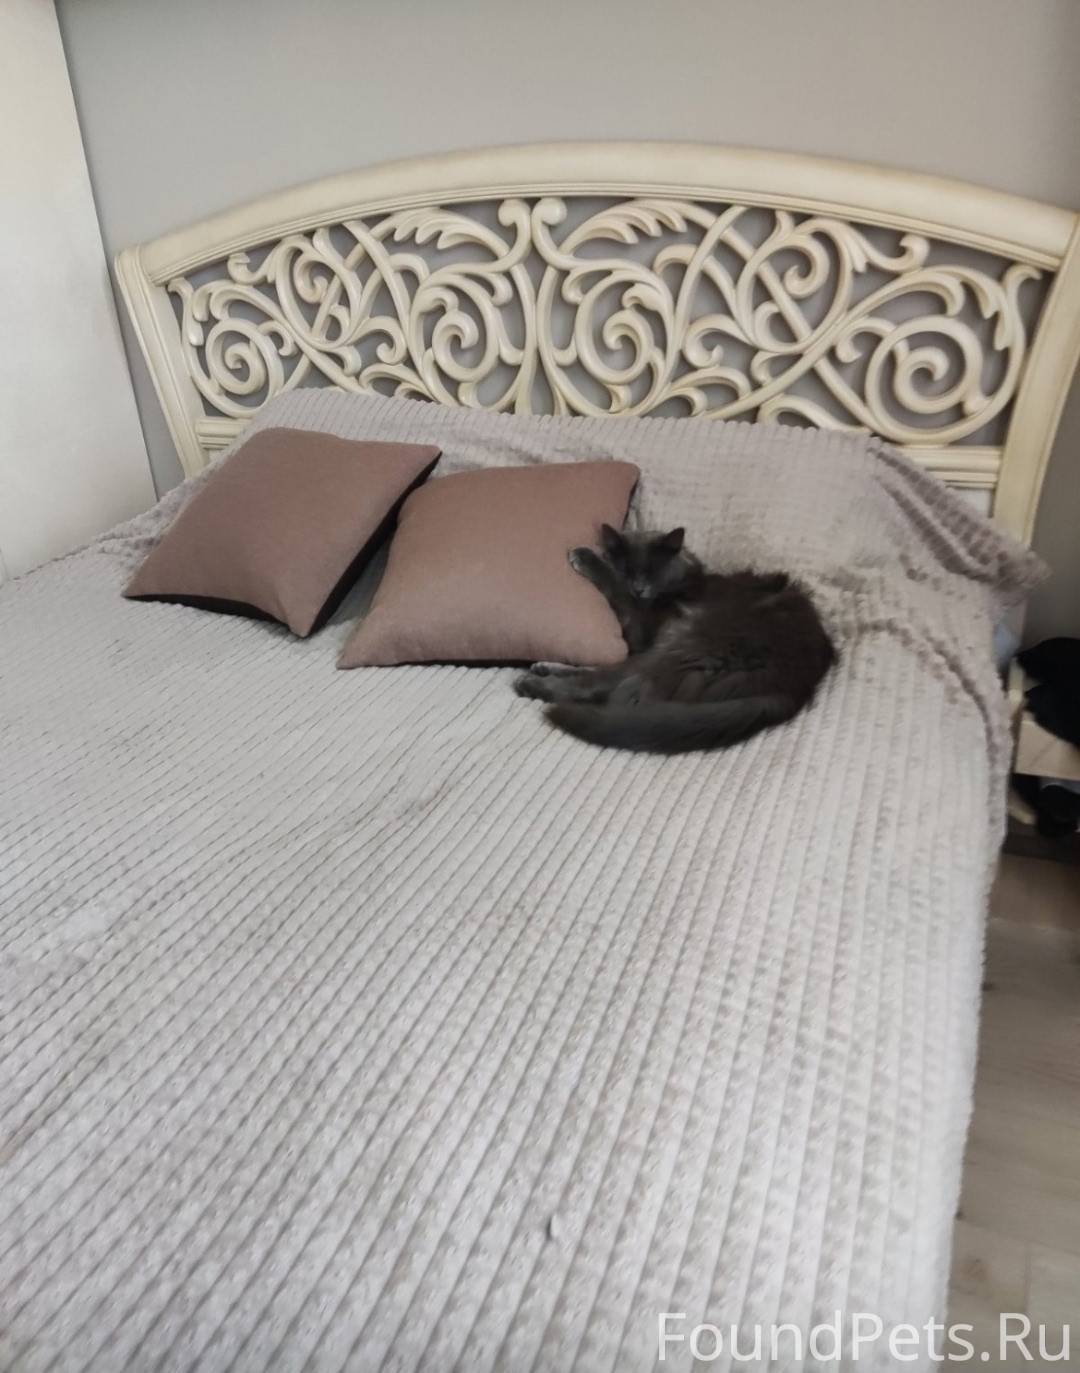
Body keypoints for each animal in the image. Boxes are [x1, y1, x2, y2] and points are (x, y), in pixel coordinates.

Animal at [514, 524, 836, 753]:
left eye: (653, 571)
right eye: (628, 569)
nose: (639, 587)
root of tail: (793, 686)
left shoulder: (639, 624)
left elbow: (615, 589)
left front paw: (586, 557)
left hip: (683, 643)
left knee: (609, 686)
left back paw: (533, 684)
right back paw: (543, 668)